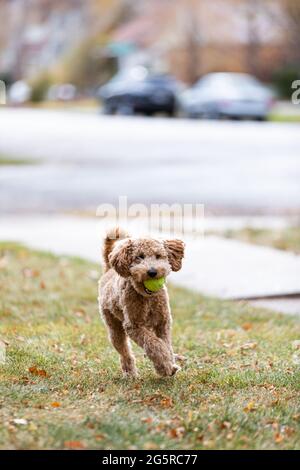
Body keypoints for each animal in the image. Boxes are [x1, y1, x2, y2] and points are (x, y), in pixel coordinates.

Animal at [98, 228, 185, 378]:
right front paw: (165, 366)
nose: (152, 272)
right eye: (139, 256)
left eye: (158, 256)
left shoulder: (163, 322)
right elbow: (153, 344)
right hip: (113, 326)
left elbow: (165, 343)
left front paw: (168, 364)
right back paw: (130, 374)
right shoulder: (134, 326)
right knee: (124, 352)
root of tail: (108, 270)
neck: (148, 298)